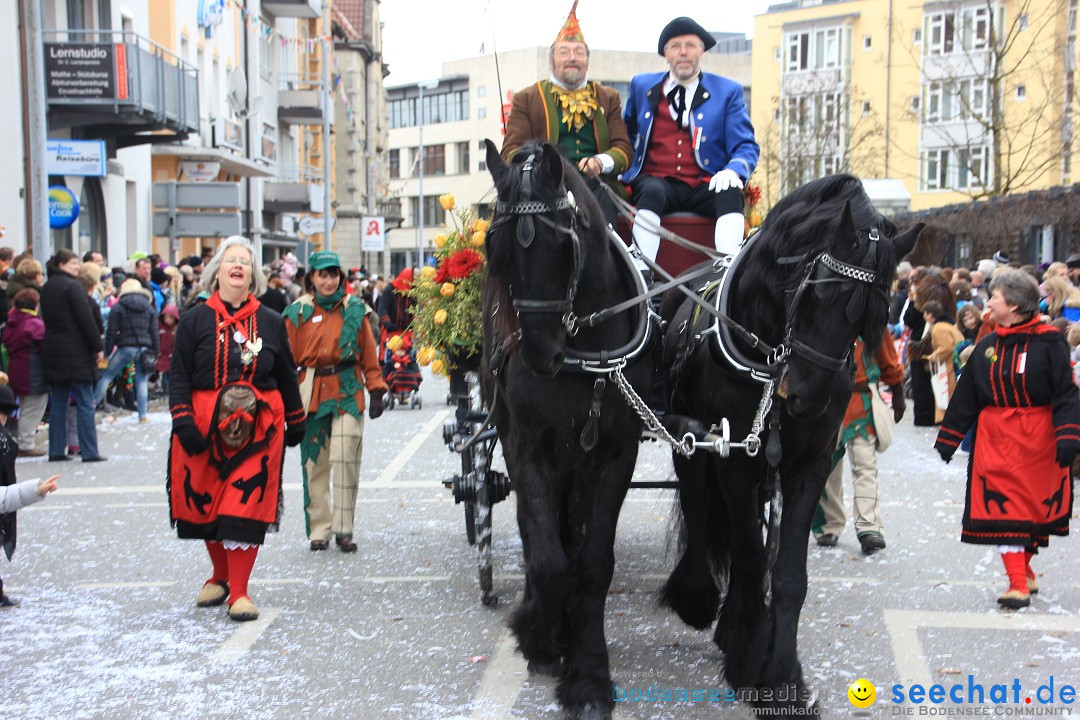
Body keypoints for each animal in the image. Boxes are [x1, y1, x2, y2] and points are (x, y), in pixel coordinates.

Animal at [486, 138, 652, 716]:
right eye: (496, 248)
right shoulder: (526, 445)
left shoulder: (614, 454)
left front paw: (589, 673)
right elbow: (548, 560)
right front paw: (541, 637)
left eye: (565, 244)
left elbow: (593, 562)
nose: (539, 355)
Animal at [656, 174, 920, 716]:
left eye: (873, 316)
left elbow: (786, 573)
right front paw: (748, 657)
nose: (806, 398)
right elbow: (750, 555)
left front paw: (780, 675)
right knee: (699, 507)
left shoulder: (807, 465)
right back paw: (698, 599)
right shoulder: (734, 461)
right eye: (817, 296)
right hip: (689, 441)